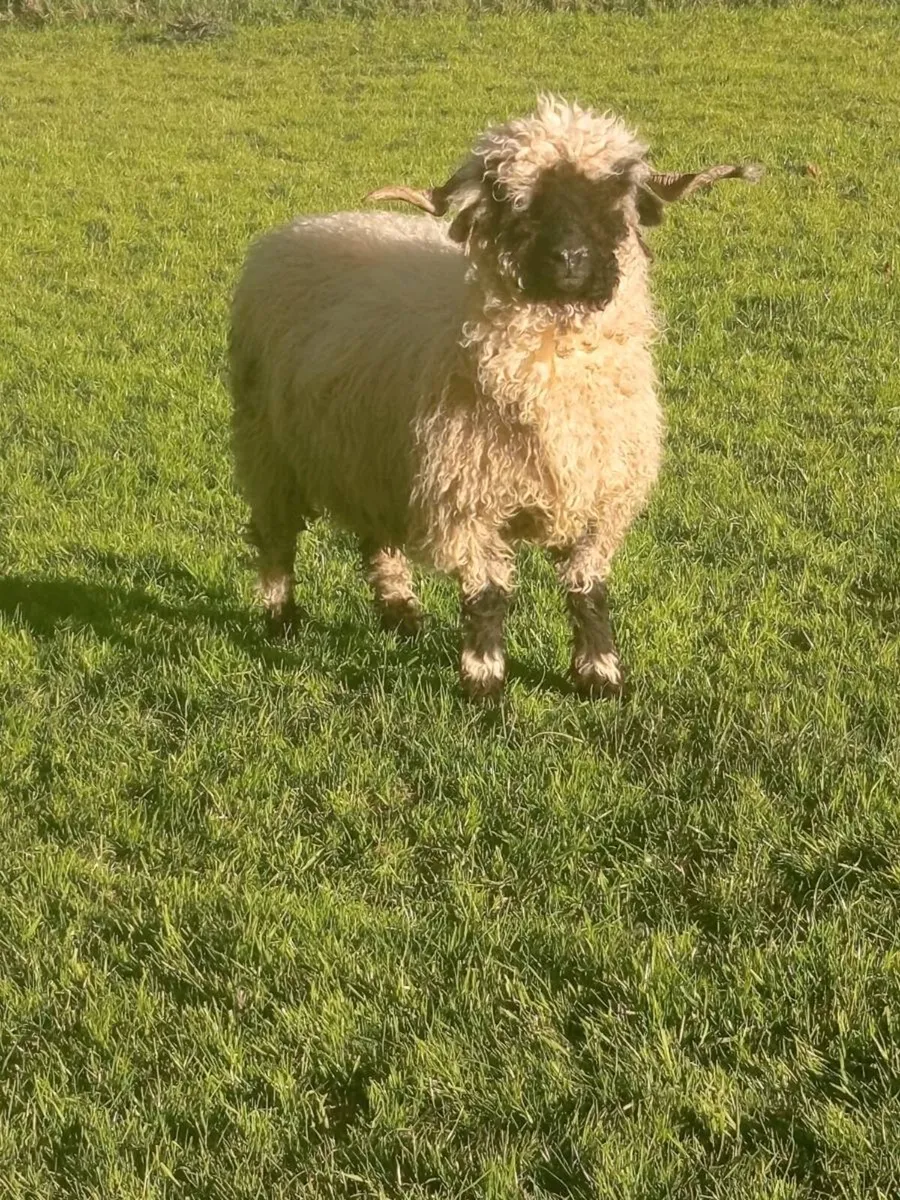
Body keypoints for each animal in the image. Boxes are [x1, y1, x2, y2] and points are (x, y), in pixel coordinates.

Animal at [229, 96, 760, 698]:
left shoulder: (601, 498)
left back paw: (400, 614)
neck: (554, 368)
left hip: (370, 456)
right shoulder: (467, 498)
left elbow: (588, 589)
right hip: (266, 446)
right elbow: (487, 596)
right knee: (275, 538)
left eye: (612, 196)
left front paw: (599, 675)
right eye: (515, 201)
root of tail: (302, 226)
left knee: (377, 539)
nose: (570, 257)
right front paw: (484, 685)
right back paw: (281, 619)